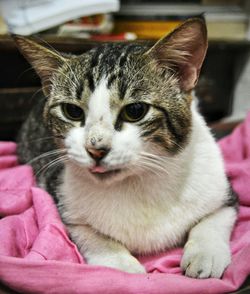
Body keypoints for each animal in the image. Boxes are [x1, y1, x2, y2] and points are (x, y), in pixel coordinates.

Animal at [14, 19, 237, 278]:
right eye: (72, 111)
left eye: (135, 110)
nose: (96, 149)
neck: (139, 183)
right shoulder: (60, 194)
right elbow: (91, 234)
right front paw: (122, 266)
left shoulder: (224, 190)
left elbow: (216, 217)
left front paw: (205, 252)